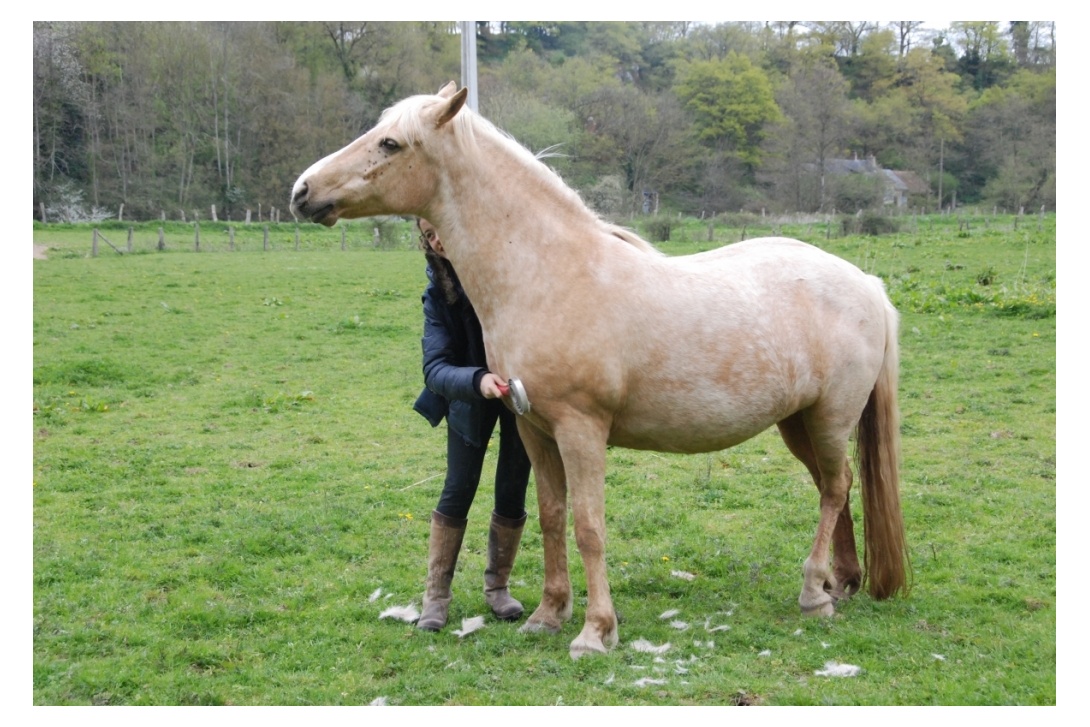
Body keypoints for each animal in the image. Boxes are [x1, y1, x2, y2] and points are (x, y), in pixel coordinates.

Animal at [292, 83, 911, 658]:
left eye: (390, 143)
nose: (302, 191)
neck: (547, 273)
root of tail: (867, 285)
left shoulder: (581, 431)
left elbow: (589, 528)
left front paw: (595, 632)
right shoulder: (534, 430)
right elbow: (549, 516)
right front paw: (548, 615)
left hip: (829, 420)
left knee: (835, 488)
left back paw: (813, 595)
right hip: (798, 423)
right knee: (835, 487)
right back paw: (840, 585)